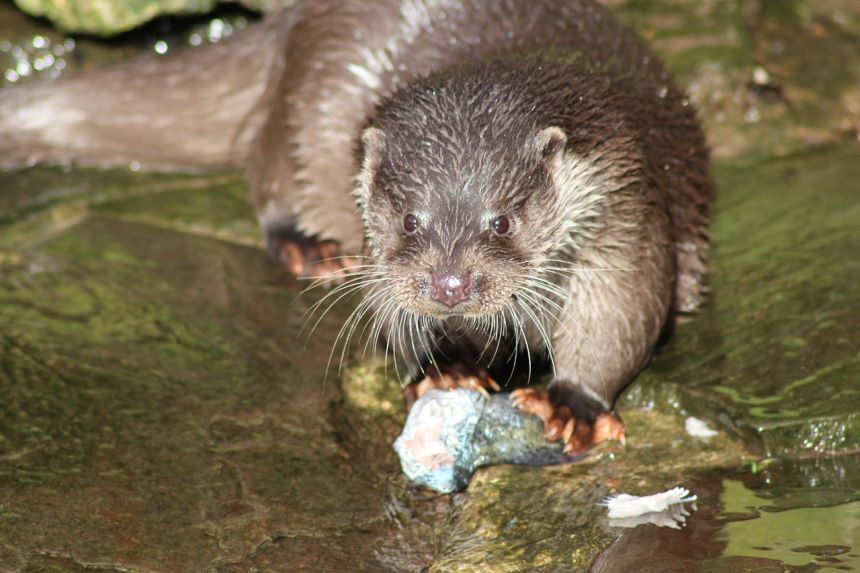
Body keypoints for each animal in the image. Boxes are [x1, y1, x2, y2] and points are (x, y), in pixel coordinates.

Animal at [0, 1, 712, 456]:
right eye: (410, 218)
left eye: (502, 219)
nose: (450, 286)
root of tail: (290, 19)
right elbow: (385, 303)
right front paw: (445, 364)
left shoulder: (626, 210)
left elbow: (623, 313)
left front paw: (574, 404)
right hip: (309, 96)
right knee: (268, 165)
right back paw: (309, 246)